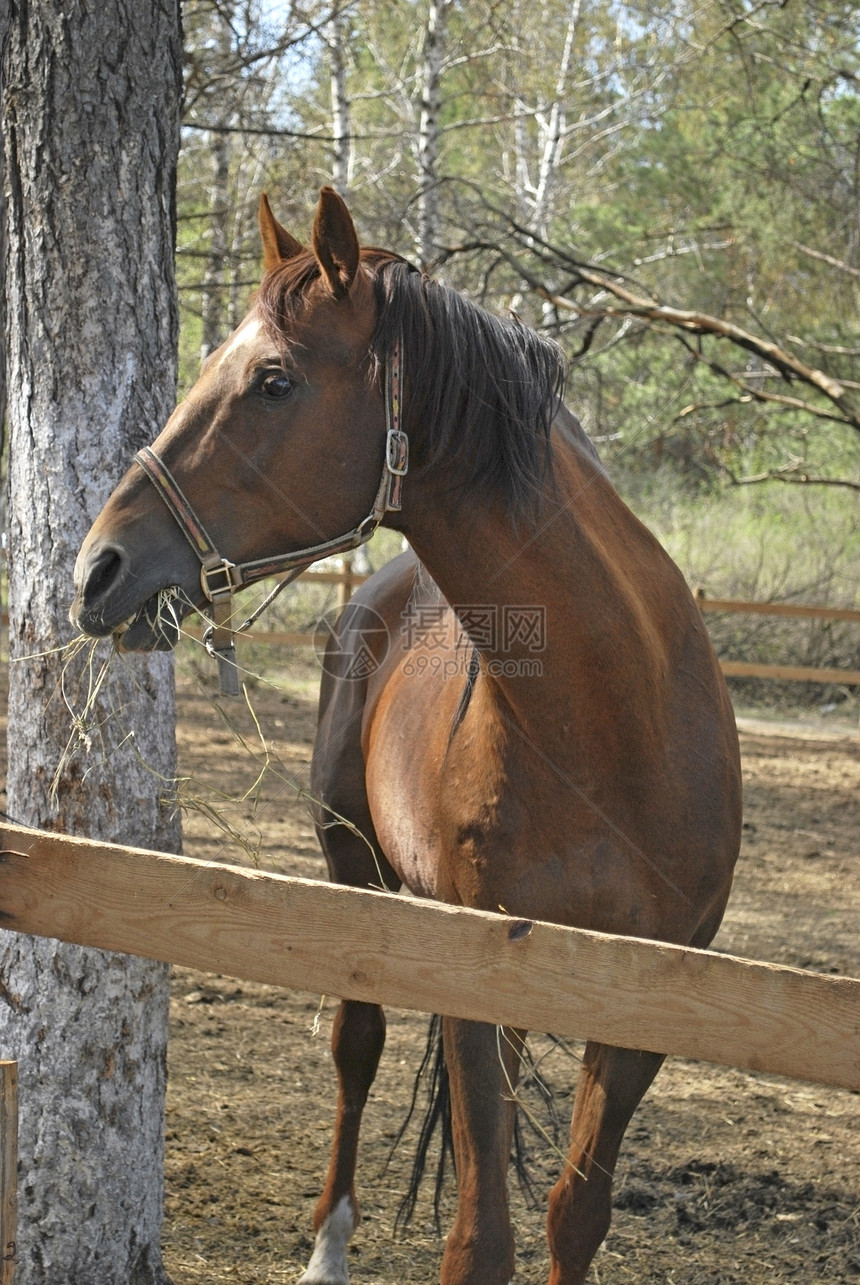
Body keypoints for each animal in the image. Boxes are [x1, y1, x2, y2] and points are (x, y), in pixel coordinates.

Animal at [73, 187, 740, 1285]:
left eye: (272, 380)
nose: (98, 567)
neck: (611, 720)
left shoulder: (647, 1001)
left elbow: (573, 1214)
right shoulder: (468, 968)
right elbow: (480, 1236)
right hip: (355, 867)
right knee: (359, 1044)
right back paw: (328, 1246)